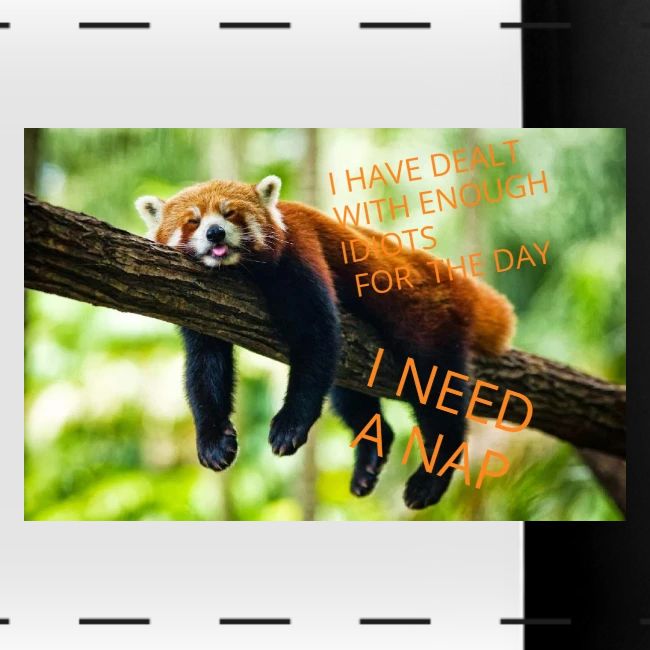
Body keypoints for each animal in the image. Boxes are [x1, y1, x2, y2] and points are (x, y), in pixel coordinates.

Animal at [136, 175, 515, 509]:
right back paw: (370, 457)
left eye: (230, 214)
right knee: (348, 395)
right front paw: (213, 440)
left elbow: (316, 338)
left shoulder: (300, 253)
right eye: (193, 221)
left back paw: (431, 477)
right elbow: (205, 367)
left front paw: (290, 425)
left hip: (427, 322)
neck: (238, 271)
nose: (215, 232)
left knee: (436, 391)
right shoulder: (200, 304)